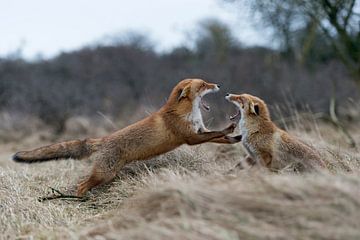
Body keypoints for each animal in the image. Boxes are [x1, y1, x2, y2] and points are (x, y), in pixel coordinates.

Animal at [13, 79, 239, 197]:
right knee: (81, 186)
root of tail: (103, 139)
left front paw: (236, 138)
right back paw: (80, 199)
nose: (218, 85)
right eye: (203, 85)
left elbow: (218, 137)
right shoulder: (190, 138)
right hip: (104, 174)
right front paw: (231, 128)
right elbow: (218, 133)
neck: (187, 114)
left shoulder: (200, 131)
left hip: (107, 174)